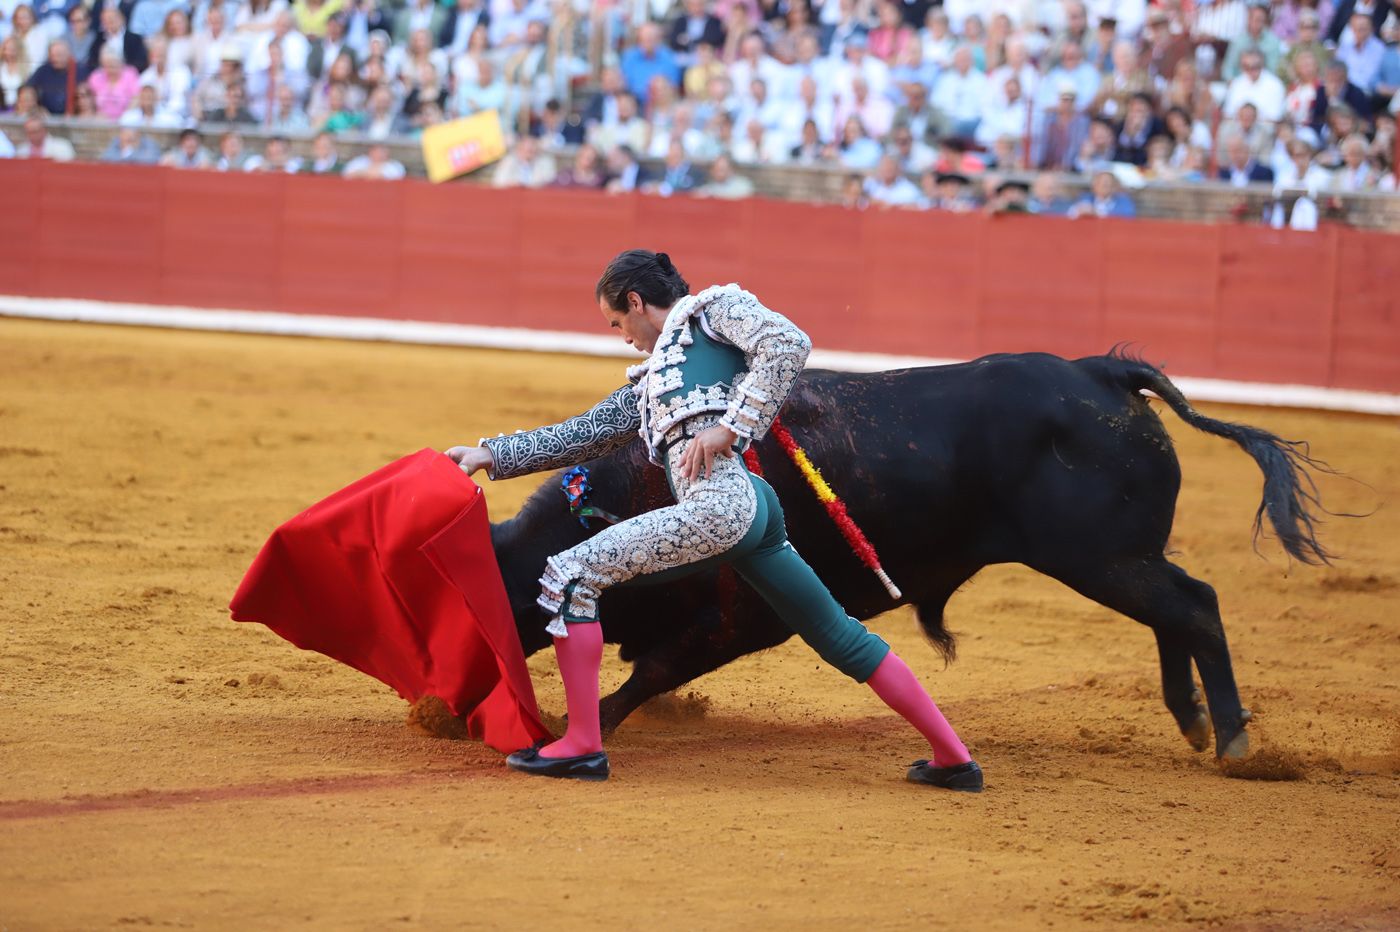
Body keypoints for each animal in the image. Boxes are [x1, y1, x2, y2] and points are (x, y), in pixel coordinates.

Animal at [487, 352, 1327, 761]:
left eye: (517, 597)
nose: (459, 709)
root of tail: (1102, 371)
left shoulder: (749, 618)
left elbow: (654, 669)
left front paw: (583, 723)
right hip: (1122, 558)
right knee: (1173, 613)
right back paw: (1194, 720)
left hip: (1103, 557)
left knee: (1195, 607)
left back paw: (1234, 741)